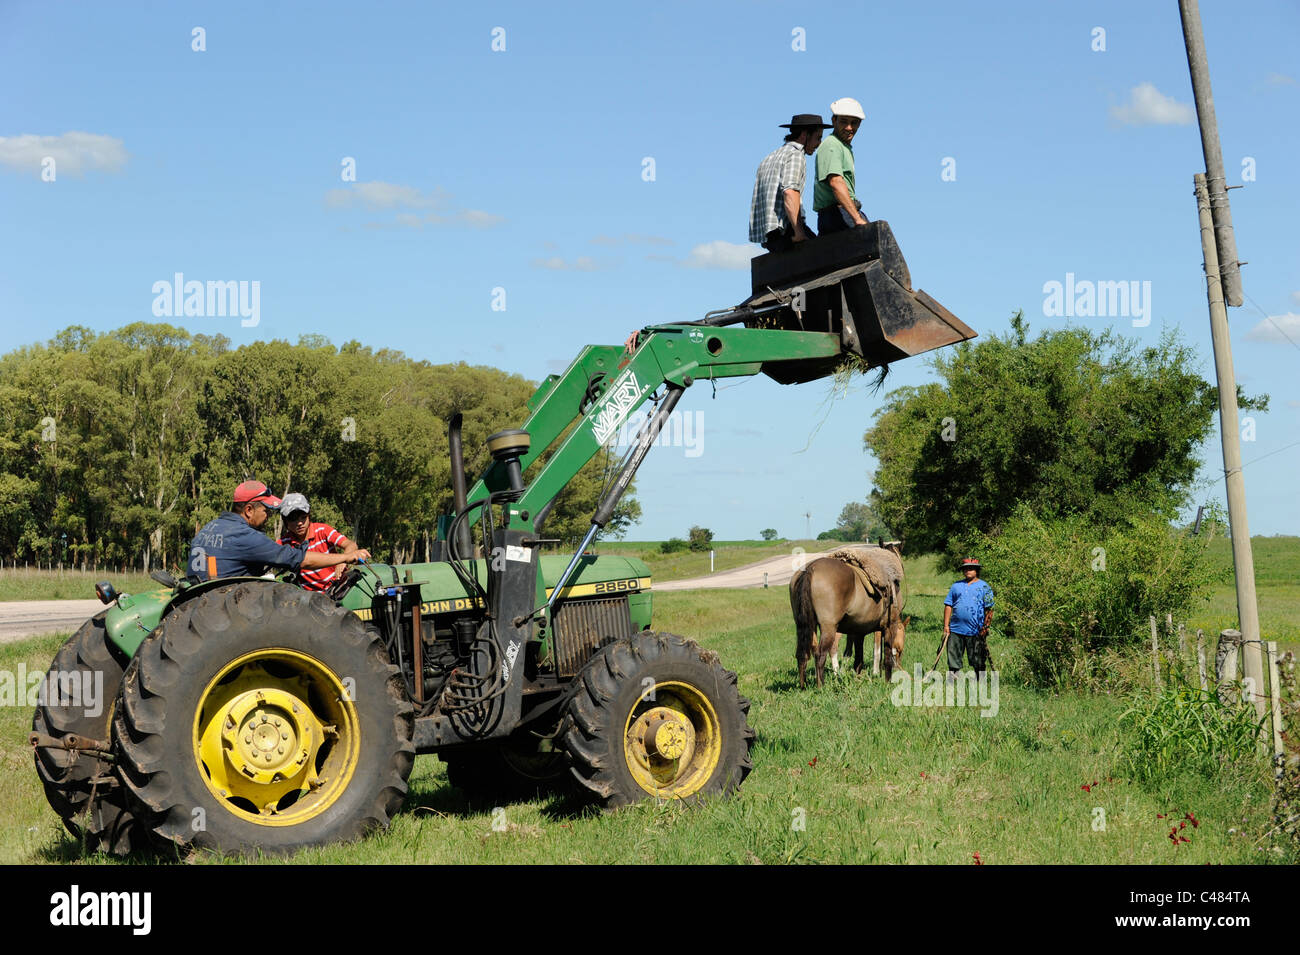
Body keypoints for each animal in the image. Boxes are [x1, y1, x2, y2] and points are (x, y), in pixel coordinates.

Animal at [788, 548, 907, 689]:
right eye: (899, 650)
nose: (899, 668)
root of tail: (810, 569)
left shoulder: (858, 632)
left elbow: (858, 660)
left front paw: (858, 681)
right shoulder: (890, 625)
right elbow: (886, 655)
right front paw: (887, 681)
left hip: (805, 626)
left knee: (803, 654)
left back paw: (804, 686)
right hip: (828, 628)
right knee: (820, 654)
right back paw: (821, 686)